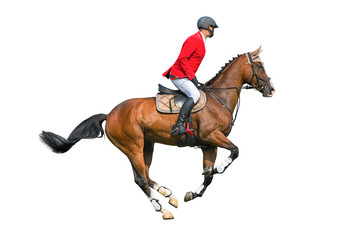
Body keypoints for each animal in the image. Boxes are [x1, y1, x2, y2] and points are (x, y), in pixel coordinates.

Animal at [41, 46, 276, 219]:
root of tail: (110, 113)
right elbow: (235, 152)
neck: (219, 99)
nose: (271, 90)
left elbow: (209, 175)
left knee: (145, 174)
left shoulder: (210, 145)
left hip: (147, 145)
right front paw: (220, 167)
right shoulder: (212, 137)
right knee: (140, 180)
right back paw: (162, 208)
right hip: (133, 147)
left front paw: (194, 192)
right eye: (260, 65)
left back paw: (167, 194)